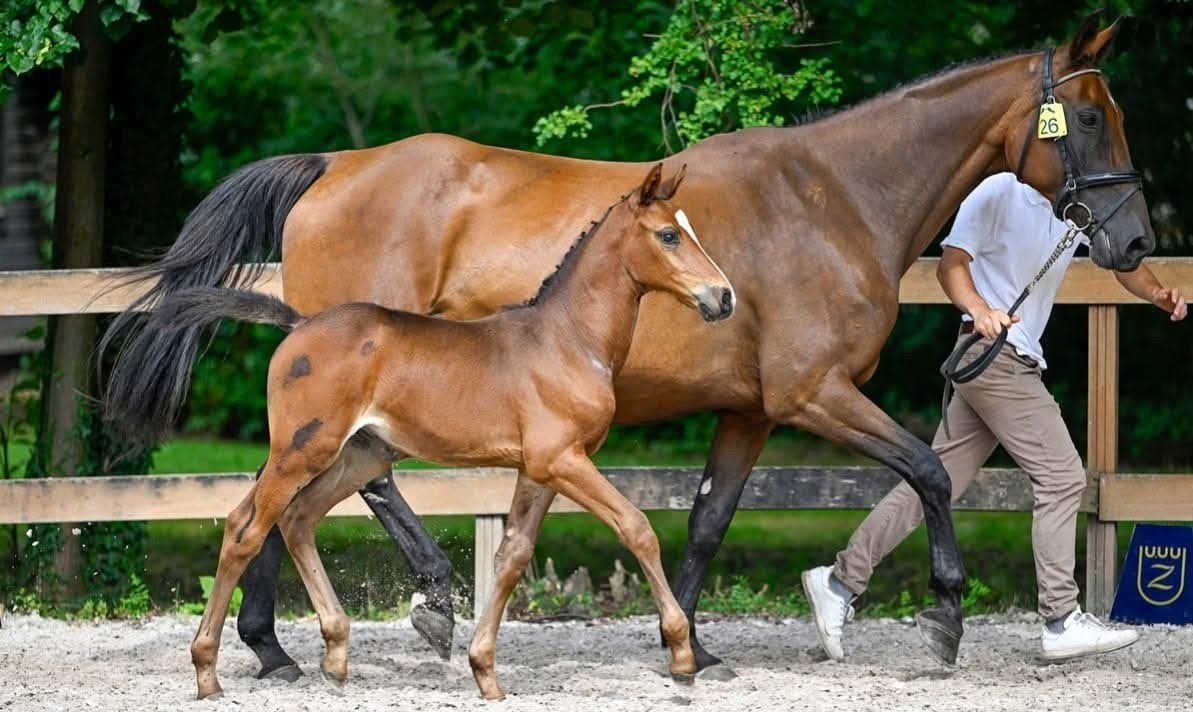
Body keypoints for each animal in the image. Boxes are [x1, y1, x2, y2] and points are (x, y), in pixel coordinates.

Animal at [163, 165, 735, 699]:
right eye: (669, 235)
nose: (724, 297)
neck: (569, 340)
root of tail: (299, 325)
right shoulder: (561, 459)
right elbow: (636, 526)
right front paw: (682, 656)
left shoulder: (539, 469)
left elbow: (511, 557)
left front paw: (485, 673)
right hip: (302, 450)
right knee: (245, 527)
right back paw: (209, 673)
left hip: (359, 458)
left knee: (298, 519)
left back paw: (336, 656)